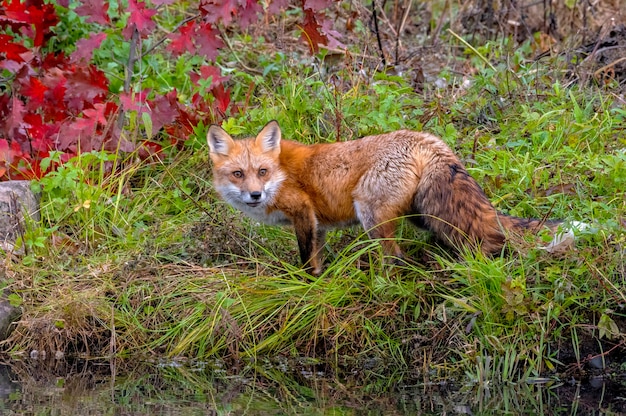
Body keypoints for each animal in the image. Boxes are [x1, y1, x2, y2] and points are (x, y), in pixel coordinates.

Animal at [207, 121, 560, 276]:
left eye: (262, 171)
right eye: (238, 174)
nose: (255, 194)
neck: (282, 174)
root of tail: (428, 141)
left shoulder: (303, 213)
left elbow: (307, 260)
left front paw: (308, 287)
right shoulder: (317, 223)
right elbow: (318, 257)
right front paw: (321, 282)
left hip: (371, 214)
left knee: (395, 257)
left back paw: (382, 286)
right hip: (421, 215)